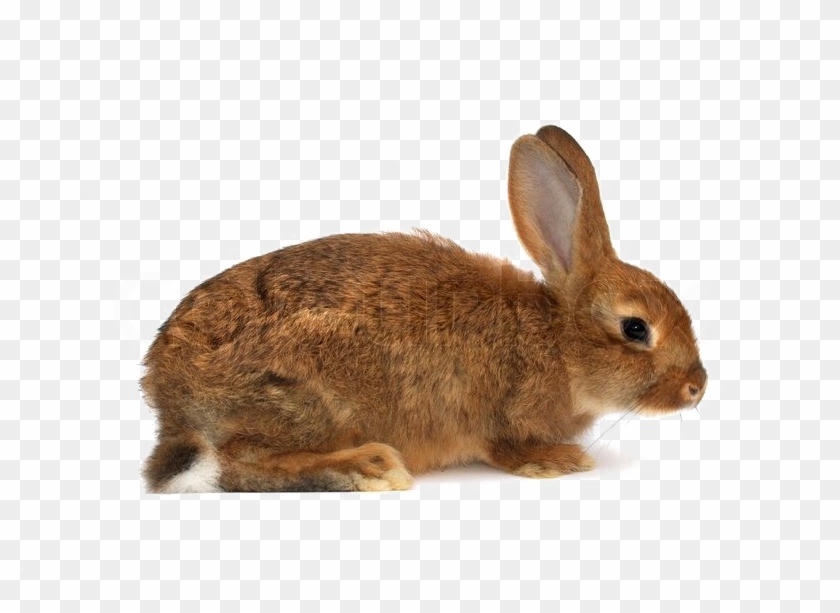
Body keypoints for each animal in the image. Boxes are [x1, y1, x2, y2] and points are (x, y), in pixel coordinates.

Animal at [141, 125, 707, 493]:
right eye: (635, 328)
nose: (697, 387)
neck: (558, 341)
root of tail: (164, 387)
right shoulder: (503, 415)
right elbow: (507, 448)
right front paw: (558, 462)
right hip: (303, 402)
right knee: (239, 464)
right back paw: (369, 467)